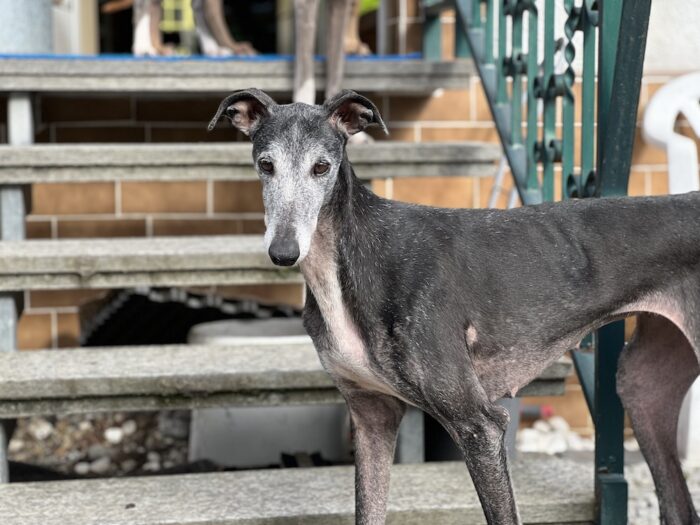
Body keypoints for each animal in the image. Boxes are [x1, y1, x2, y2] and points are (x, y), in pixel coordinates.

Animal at [209, 88, 700, 524]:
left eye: (321, 167)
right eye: (265, 165)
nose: (283, 252)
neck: (355, 254)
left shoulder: (480, 425)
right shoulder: (371, 417)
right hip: (641, 389)